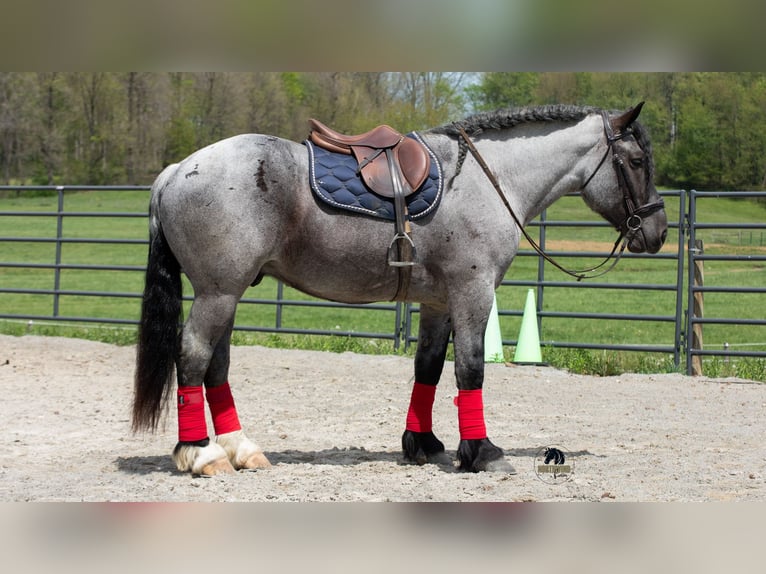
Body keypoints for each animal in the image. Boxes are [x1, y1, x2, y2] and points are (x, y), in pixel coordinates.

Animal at [132, 102, 668, 476]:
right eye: (637, 160)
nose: (658, 232)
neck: (486, 180)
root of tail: (174, 172)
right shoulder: (473, 293)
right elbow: (471, 369)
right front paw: (482, 451)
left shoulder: (438, 303)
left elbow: (428, 369)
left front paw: (423, 444)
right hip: (218, 293)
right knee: (194, 355)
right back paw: (201, 454)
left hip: (227, 294)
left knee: (217, 365)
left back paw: (241, 449)